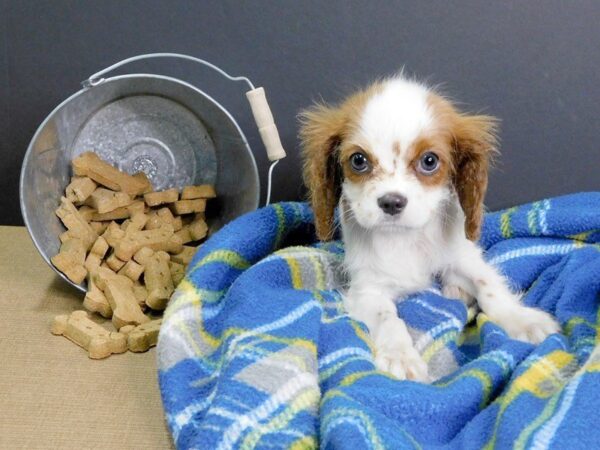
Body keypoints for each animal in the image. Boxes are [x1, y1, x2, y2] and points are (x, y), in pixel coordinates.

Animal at [298, 75, 556, 382]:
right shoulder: (368, 288)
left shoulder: (461, 255)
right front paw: (400, 355)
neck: (405, 237)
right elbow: (388, 317)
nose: (391, 202)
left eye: (429, 161)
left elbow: (489, 287)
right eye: (358, 160)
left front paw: (522, 319)